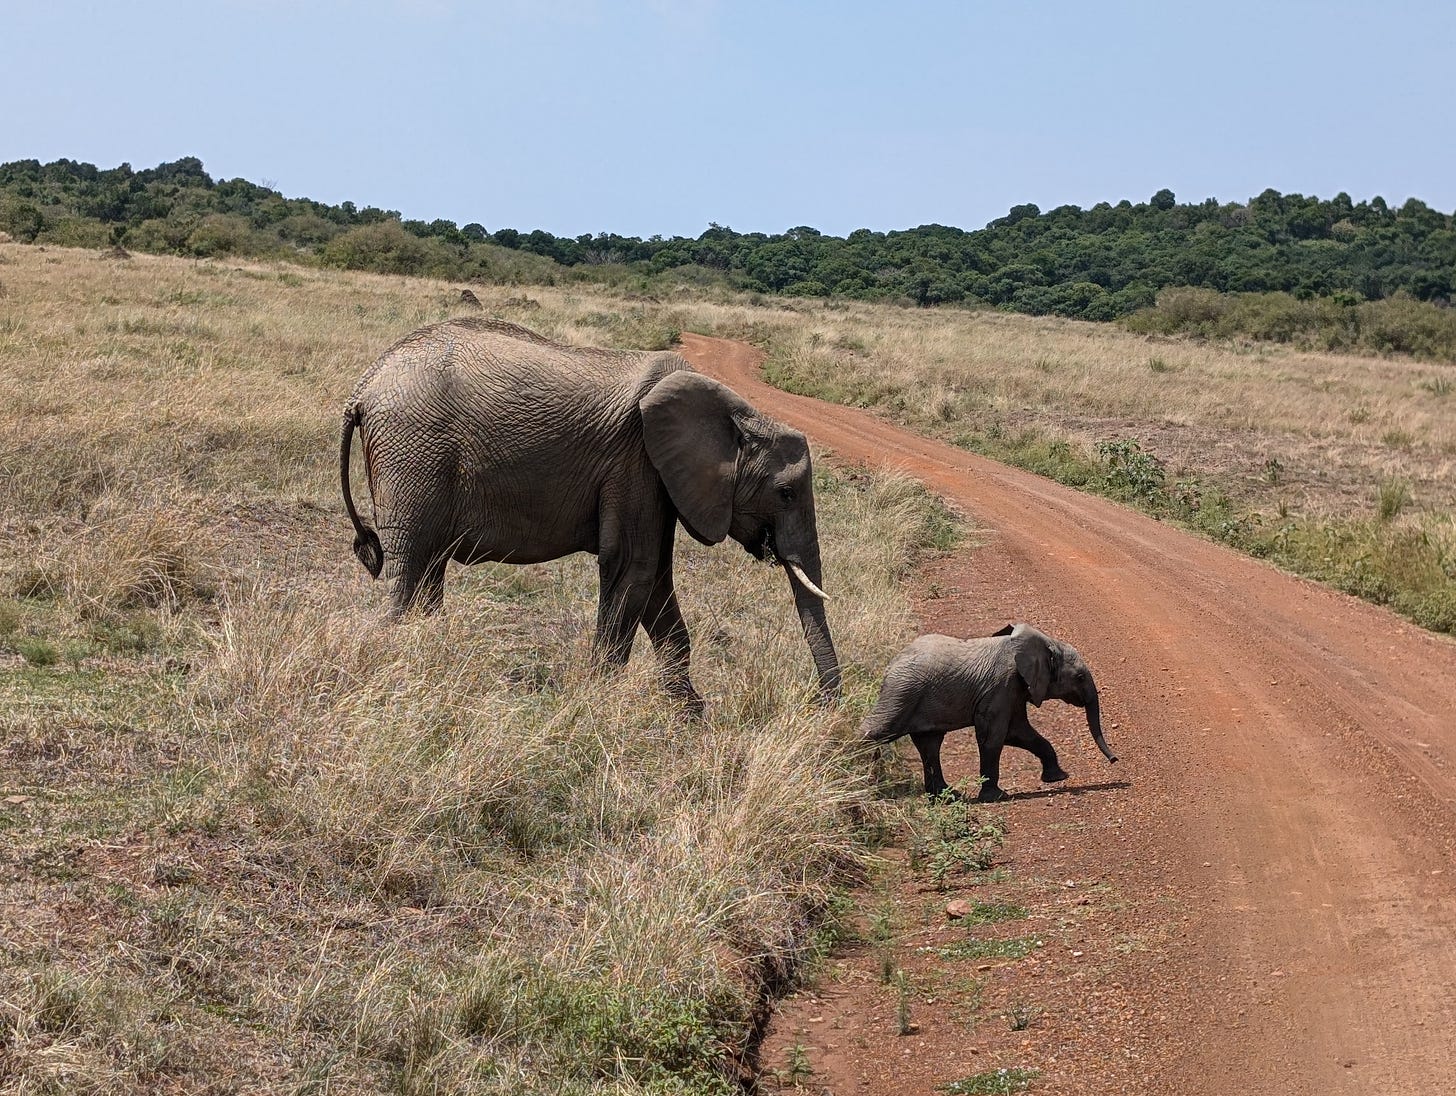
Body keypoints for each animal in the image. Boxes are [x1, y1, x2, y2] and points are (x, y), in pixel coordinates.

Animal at [340, 315, 844, 710]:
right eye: (785, 493)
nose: (823, 708)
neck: (739, 413)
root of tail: (365, 385)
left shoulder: (658, 476)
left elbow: (656, 580)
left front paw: (691, 717)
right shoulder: (637, 461)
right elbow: (633, 569)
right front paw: (602, 699)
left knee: (428, 567)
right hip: (412, 455)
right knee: (411, 565)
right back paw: (405, 657)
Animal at [856, 628, 1118, 797]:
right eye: (1080, 677)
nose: (1115, 760)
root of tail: (889, 665)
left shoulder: (1015, 689)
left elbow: (1018, 732)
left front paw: (1058, 777)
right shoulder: (1002, 686)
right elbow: (994, 735)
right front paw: (996, 796)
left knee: (929, 745)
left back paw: (949, 796)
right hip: (901, 693)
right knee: (876, 730)